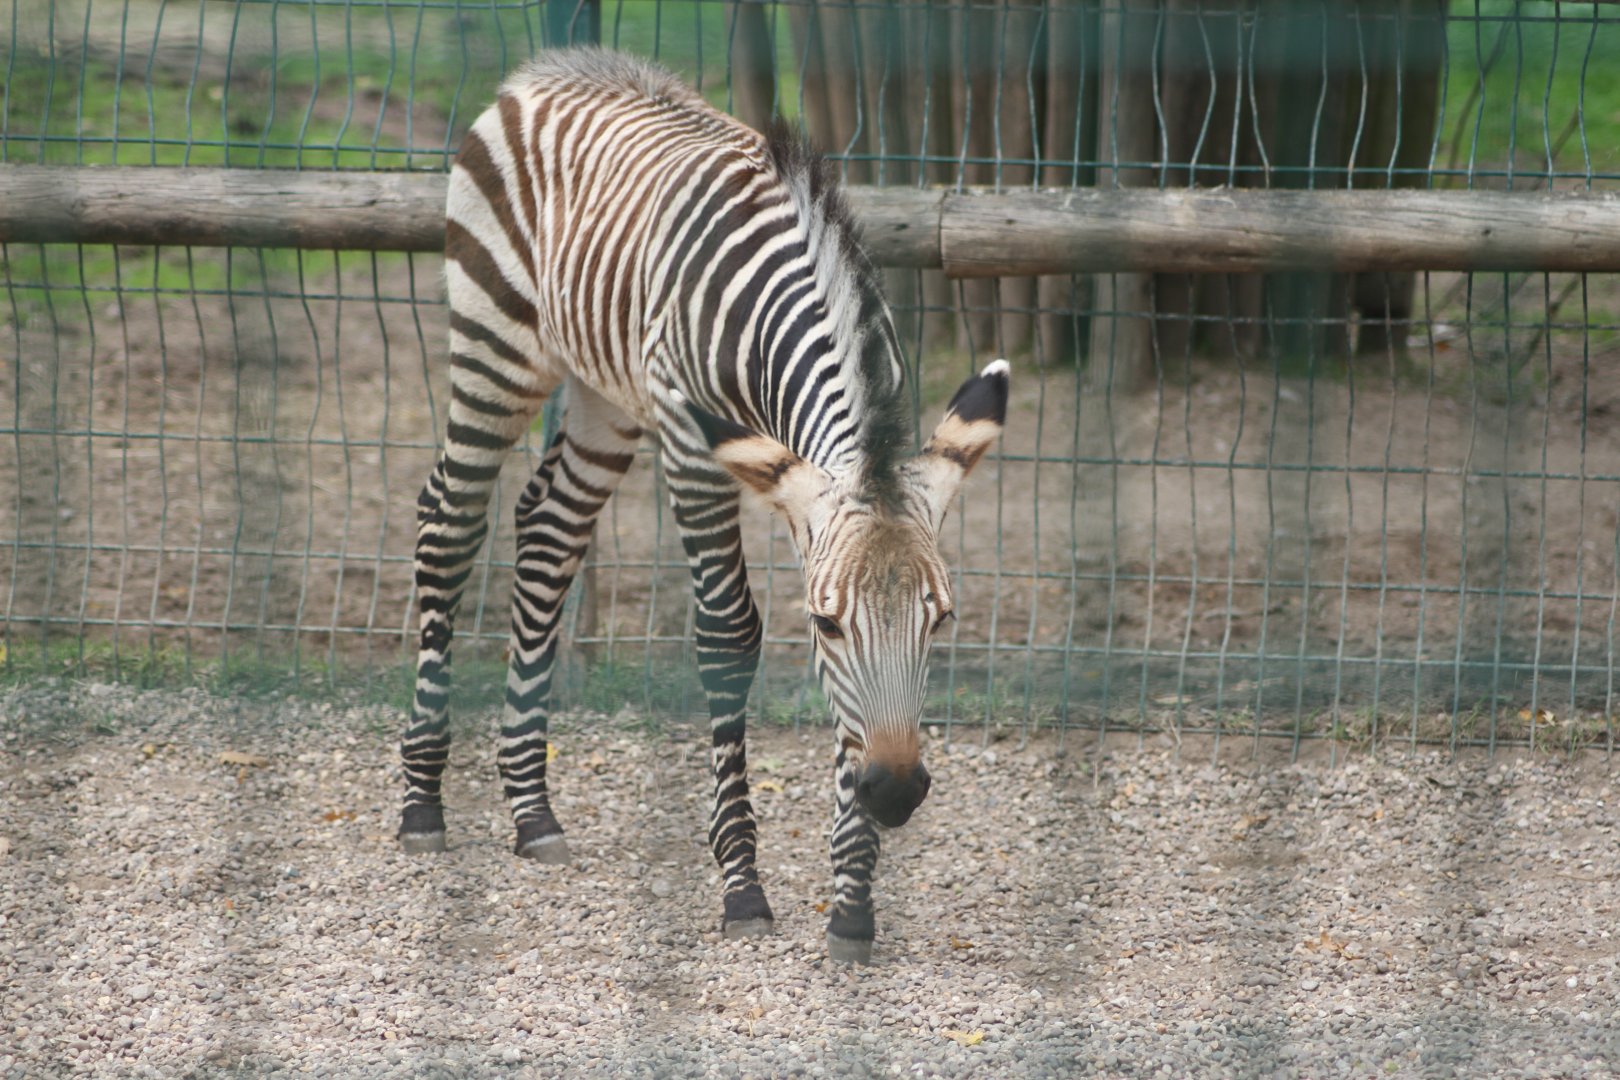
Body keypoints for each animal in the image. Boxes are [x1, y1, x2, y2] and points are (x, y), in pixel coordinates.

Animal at [399, 48, 1008, 964]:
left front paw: (851, 898)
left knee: (546, 533)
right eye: (828, 625)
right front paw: (742, 886)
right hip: (495, 344)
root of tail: (545, 73)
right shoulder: (696, 453)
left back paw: (532, 811)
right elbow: (729, 637)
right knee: (449, 522)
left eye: (940, 619)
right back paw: (422, 803)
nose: (897, 793)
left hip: (605, 395)